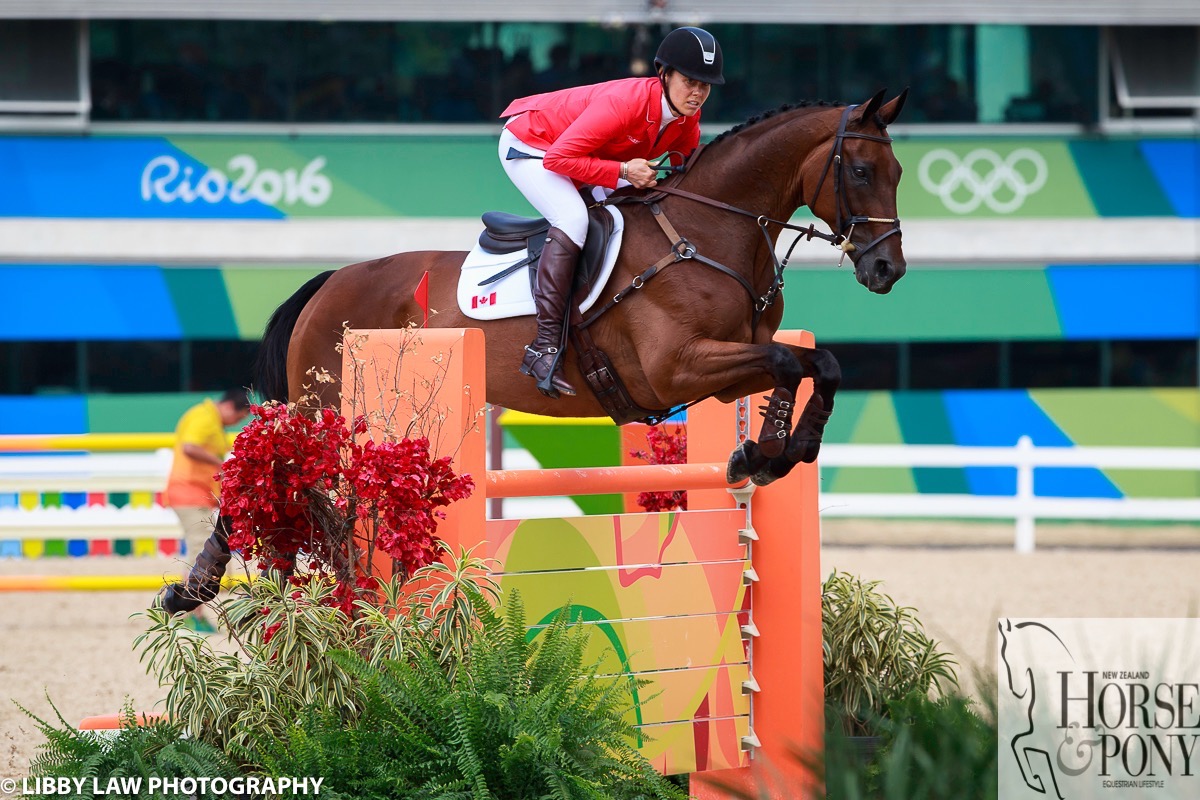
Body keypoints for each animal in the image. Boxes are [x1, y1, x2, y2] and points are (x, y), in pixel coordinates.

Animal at [255, 89, 907, 484]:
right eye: (860, 170)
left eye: (898, 173)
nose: (888, 270)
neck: (709, 232)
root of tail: (329, 283)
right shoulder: (677, 367)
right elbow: (786, 360)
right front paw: (765, 455)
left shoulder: (724, 375)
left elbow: (816, 363)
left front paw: (778, 452)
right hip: (325, 409)